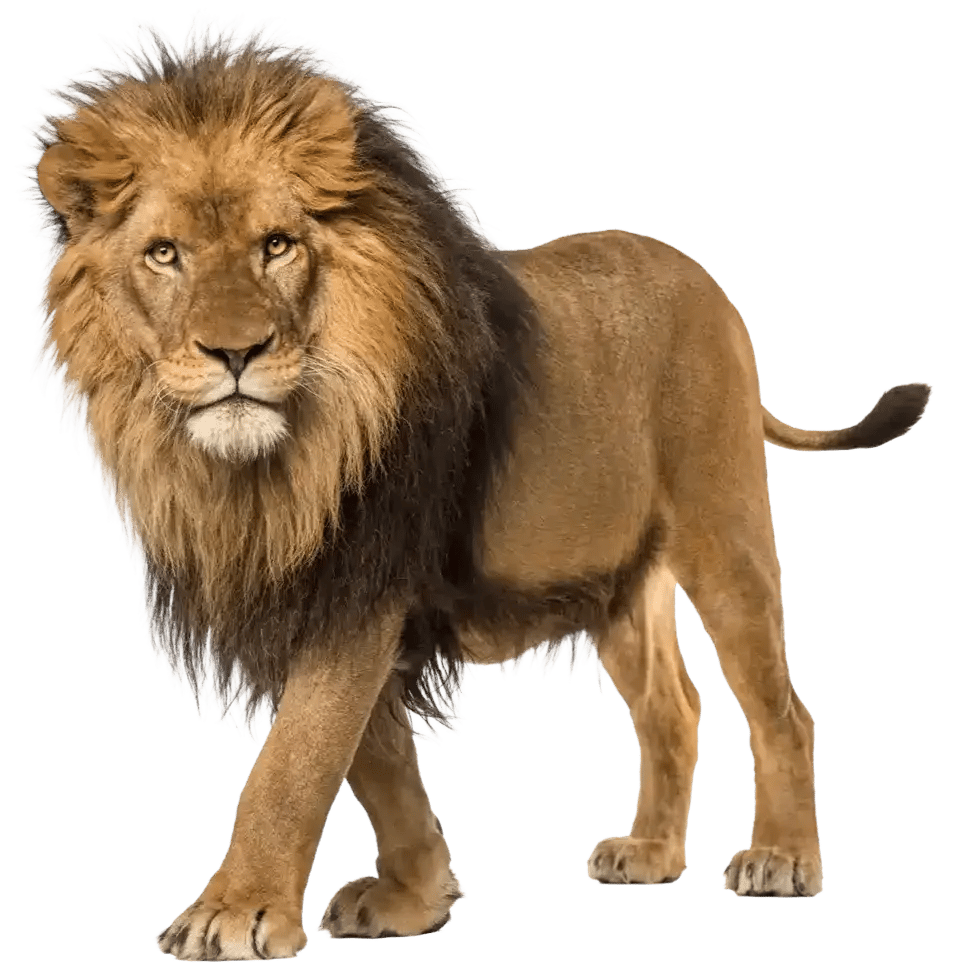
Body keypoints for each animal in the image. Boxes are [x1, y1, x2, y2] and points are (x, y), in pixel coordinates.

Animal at [21, 13, 932, 963]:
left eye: (277, 245)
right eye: (164, 255)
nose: (235, 352)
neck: (264, 467)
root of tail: (701, 278)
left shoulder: (362, 579)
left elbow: (296, 761)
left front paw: (235, 914)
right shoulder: (321, 590)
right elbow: (378, 762)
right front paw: (415, 898)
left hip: (725, 534)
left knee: (783, 710)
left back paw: (782, 859)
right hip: (610, 580)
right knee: (671, 710)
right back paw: (649, 854)